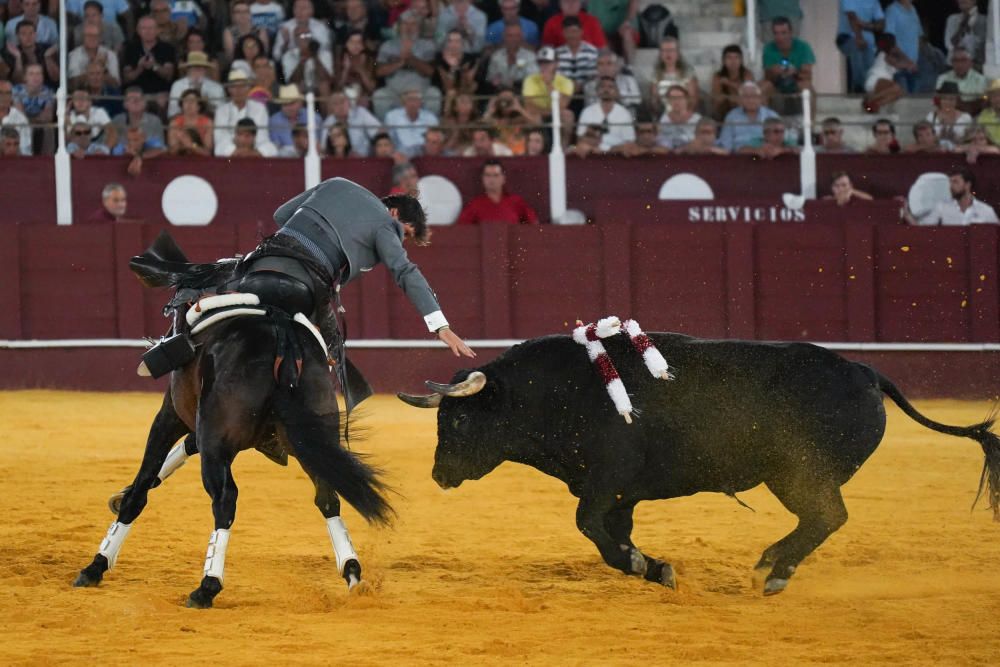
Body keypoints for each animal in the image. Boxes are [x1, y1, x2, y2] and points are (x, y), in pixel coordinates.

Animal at [74, 234, 392, 604]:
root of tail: (280, 331)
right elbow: (174, 457)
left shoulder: (173, 414)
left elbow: (142, 486)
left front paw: (96, 565)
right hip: (311, 436)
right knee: (328, 495)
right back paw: (352, 571)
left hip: (217, 440)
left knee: (225, 499)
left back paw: (207, 585)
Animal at [398, 334, 1000, 596]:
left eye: (459, 422)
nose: (439, 475)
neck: (557, 390)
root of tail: (866, 371)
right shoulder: (621, 493)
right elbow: (610, 538)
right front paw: (653, 567)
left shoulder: (607, 482)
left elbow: (589, 526)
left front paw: (647, 565)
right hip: (795, 476)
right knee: (821, 518)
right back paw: (771, 564)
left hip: (798, 473)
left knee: (828, 516)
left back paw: (773, 571)